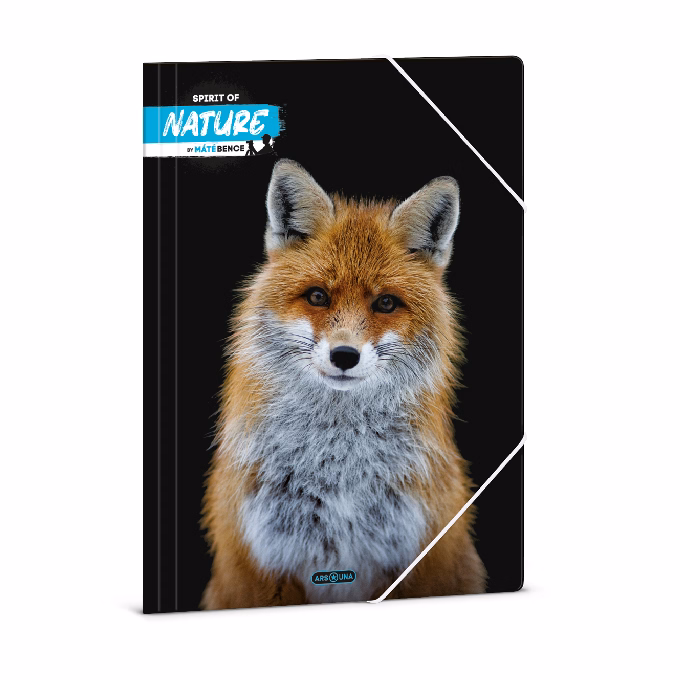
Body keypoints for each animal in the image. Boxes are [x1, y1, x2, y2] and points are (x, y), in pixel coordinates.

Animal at [201, 159, 486, 609]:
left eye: (385, 303)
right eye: (318, 296)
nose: (344, 356)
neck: (339, 473)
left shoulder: (418, 559)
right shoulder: (264, 564)